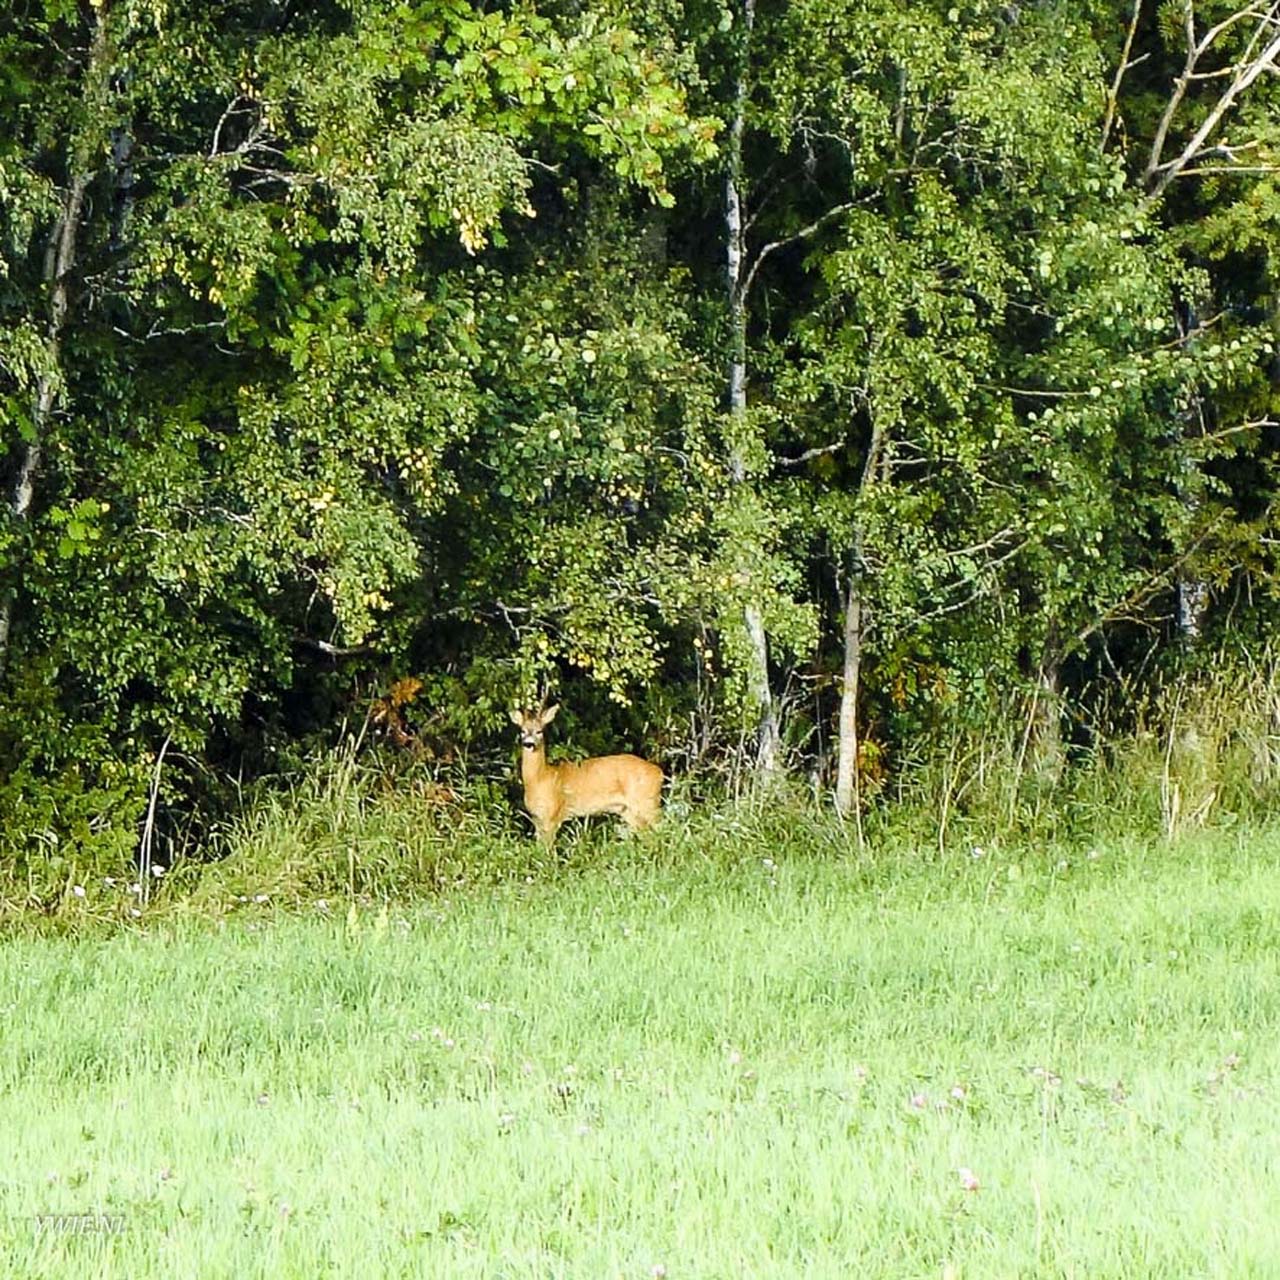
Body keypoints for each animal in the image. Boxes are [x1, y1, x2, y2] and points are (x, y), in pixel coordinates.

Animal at [506, 706, 660, 844]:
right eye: (522, 731)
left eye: (539, 731)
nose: (529, 744)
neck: (540, 778)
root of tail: (659, 772)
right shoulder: (536, 818)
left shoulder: (553, 815)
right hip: (628, 810)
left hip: (648, 802)